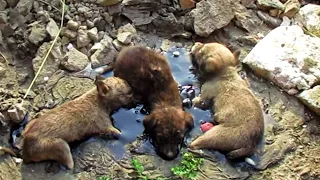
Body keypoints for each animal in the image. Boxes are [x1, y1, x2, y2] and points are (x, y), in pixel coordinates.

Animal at [1, 76, 136, 169]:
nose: (136, 97)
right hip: (61, 146)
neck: (98, 99)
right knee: (69, 165)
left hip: (30, 124)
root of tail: (25, 153)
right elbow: (120, 134)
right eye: (127, 94)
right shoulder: (107, 127)